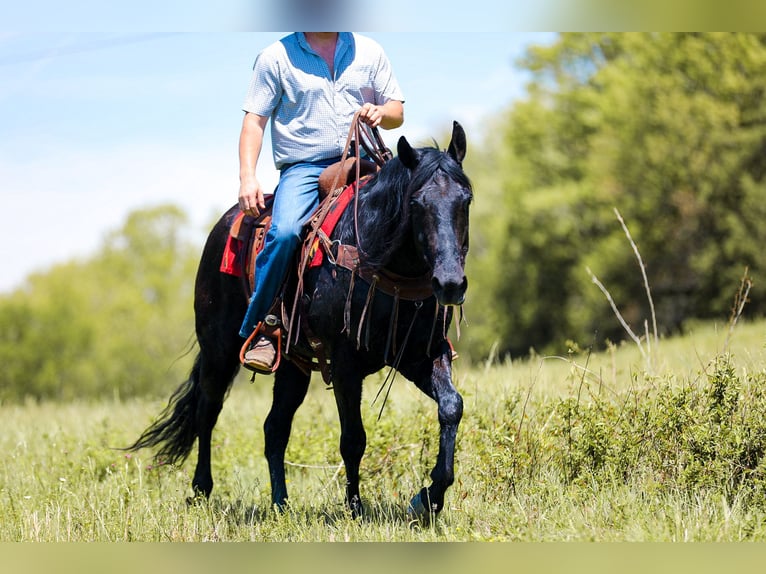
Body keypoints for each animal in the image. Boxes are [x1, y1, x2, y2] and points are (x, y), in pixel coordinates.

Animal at [128, 121, 472, 521]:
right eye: (416, 203)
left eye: (465, 199)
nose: (450, 284)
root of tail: (224, 226)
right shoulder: (345, 363)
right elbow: (353, 439)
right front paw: (355, 508)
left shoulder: (422, 354)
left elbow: (451, 406)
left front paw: (429, 498)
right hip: (220, 350)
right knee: (207, 411)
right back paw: (201, 489)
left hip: (293, 365)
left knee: (275, 427)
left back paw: (280, 503)